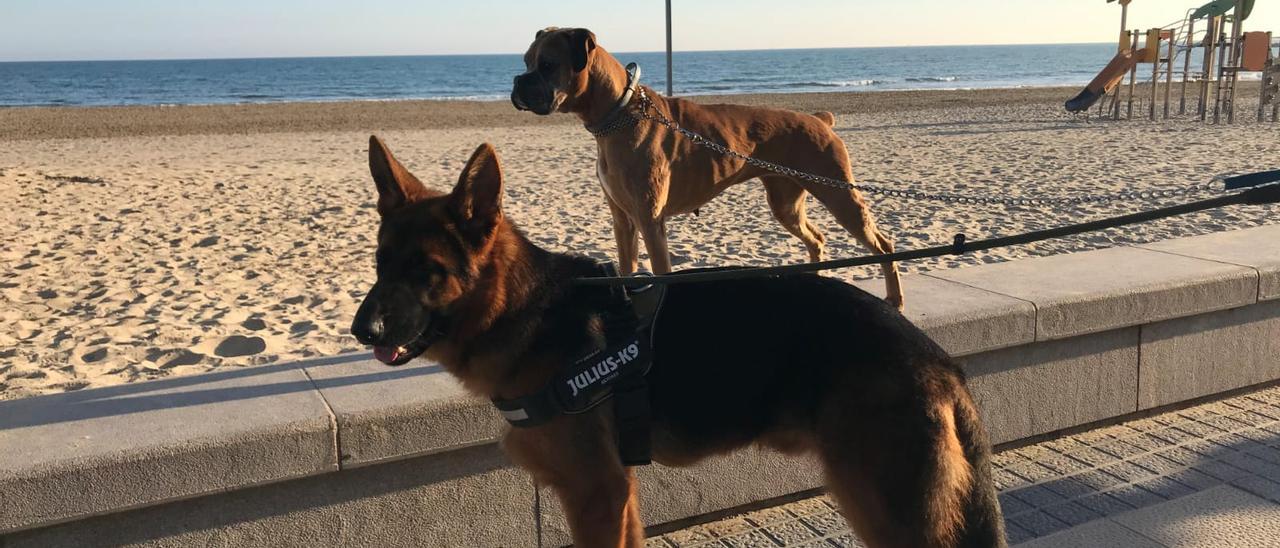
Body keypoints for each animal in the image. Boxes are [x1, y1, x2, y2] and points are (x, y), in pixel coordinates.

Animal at [353, 133, 1008, 548]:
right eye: (380, 264)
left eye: (427, 271)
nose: (364, 332)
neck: (524, 306)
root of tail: (939, 361)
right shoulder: (619, 495)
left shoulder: (596, 494)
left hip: (891, 511)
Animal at [514, 26, 906, 308]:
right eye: (526, 61)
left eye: (547, 65)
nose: (518, 81)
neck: (618, 113)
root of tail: (820, 119)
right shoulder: (623, 220)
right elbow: (626, 269)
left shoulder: (649, 220)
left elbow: (661, 273)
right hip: (786, 203)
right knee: (818, 238)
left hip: (838, 194)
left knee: (884, 244)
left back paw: (895, 297)